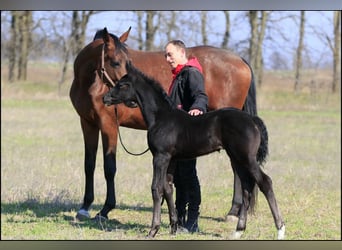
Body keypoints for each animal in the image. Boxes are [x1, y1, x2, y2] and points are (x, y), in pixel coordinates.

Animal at [69, 27, 256, 222]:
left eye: (127, 62)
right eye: (115, 63)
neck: (90, 83)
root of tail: (240, 60)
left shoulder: (109, 125)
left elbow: (109, 167)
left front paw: (105, 210)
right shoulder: (88, 123)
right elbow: (89, 164)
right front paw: (84, 207)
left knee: (237, 170)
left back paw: (233, 212)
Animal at [102, 63, 286, 239]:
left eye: (122, 85)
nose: (105, 98)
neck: (161, 117)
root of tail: (252, 119)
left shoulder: (160, 157)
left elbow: (156, 188)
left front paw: (153, 230)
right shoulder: (171, 159)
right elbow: (168, 188)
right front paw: (173, 228)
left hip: (246, 158)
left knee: (265, 182)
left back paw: (280, 230)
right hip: (237, 158)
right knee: (247, 188)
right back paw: (238, 232)